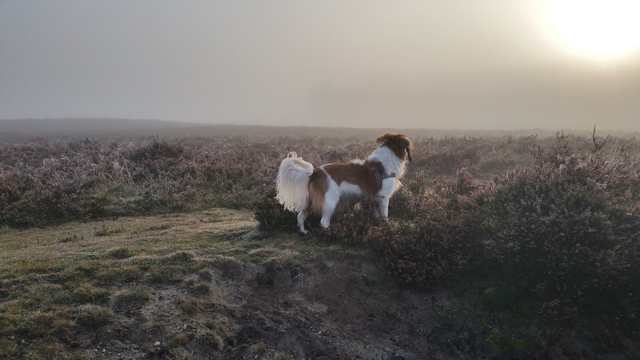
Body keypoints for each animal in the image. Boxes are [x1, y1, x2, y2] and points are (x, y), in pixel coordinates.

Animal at [278, 132, 412, 233]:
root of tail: (315, 172)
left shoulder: (375, 198)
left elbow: (376, 214)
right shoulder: (383, 196)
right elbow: (385, 214)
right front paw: (387, 226)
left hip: (310, 201)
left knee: (300, 216)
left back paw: (302, 231)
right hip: (331, 202)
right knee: (324, 221)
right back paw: (330, 234)